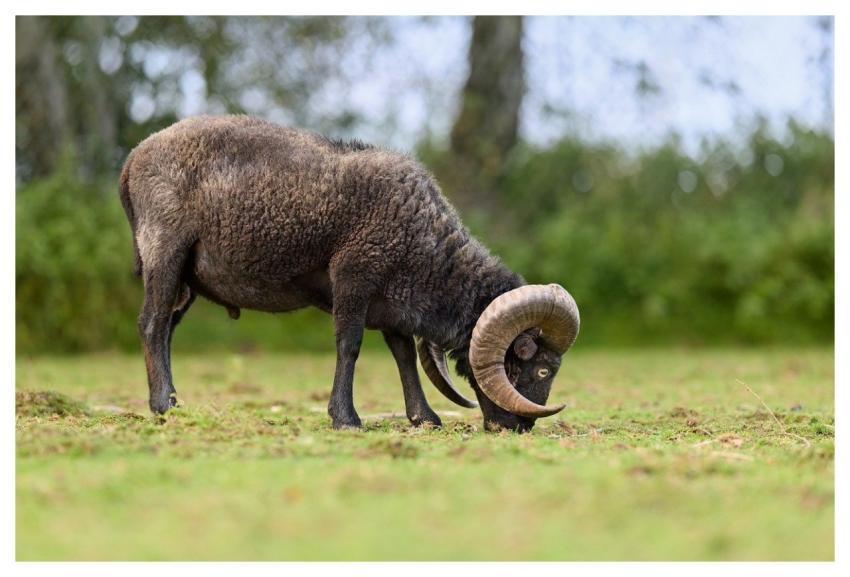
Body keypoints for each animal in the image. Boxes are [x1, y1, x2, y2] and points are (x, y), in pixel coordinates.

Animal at [119, 115, 579, 432]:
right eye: (543, 370)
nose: (520, 427)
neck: (427, 248)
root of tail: (133, 159)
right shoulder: (354, 276)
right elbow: (350, 345)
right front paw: (346, 418)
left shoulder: (392, 302)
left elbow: (403, 354)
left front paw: (424, 417)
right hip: (165, 250)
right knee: (151, 324)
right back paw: (162, 405)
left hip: (187, 279)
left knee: (165, 330)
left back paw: (171, 400)